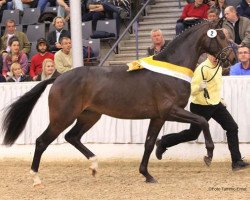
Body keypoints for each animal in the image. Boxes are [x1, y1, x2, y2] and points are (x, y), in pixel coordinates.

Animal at [0, 19, 233, 185]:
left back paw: (94, 166)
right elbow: (202, 121)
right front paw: (209, 155)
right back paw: (36, 178)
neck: (171, 69)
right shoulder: (170, 111)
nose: (231, 57)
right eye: (220, 36)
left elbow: (149, 143)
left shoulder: (158, 117)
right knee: (42, 141)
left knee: (72, 137)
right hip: (63, 117)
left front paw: (147, 174)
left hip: (90, 116)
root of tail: (58, 78)